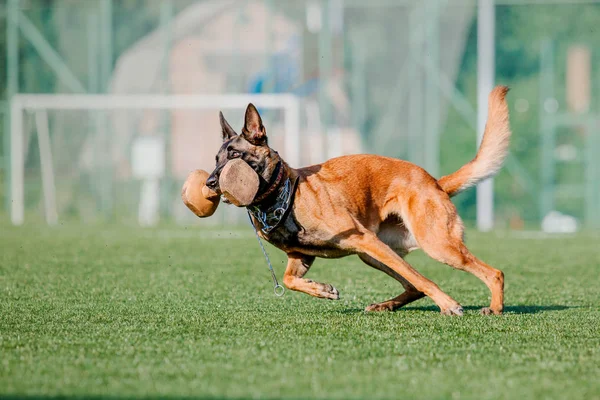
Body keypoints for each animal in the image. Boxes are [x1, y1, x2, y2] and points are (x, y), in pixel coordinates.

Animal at [206, 86, 510, 316]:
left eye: (234, 155)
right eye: (217, 159)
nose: (209, 183)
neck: (283, 196)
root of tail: (435, 181)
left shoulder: (362, 239)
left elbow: (422, 278)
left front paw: (449, 305)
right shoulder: (301, 256)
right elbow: (288, 280)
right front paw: (323, 290)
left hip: (431, 244)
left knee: (491, 273)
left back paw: (493, 308)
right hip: (374, 254)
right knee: (413, 286)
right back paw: (385, 305)